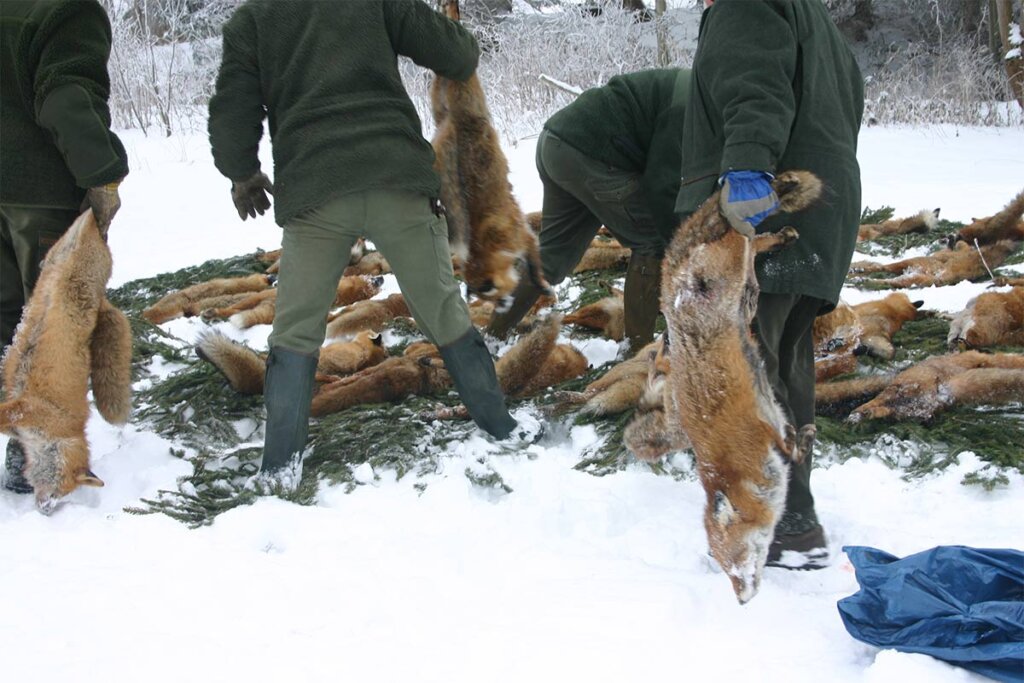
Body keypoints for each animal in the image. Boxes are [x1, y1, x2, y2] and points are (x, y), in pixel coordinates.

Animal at [430, 0, 552, 303]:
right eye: (491, 301)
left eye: (497, 295)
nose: (503, 307)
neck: (485, 243)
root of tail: (453, 122)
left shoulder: (525, 238)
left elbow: (534, 266)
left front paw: (541, 283)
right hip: (440, 102)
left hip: (469, 91)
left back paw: (452, 13)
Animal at [659, 169, 819, 602]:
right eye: (725, 570)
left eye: (736, 564)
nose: (742, 600)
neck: (736, 471)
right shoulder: (773, 415)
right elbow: (793, 437)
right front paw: (805, 439)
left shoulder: (761, 427)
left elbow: (789, 443)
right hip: (740, 278)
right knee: (750, 242)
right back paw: (777, 234)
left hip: (728, 263)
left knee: (738, 230)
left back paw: (755, 200)